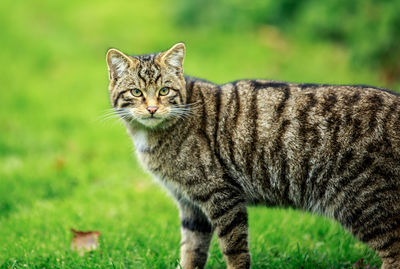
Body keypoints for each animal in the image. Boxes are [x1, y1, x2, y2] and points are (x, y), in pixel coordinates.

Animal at [104, 43, 400, 266]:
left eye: (164, 90)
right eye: (136, 92)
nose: (152, 109)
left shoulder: (221, 196)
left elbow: (234, 250)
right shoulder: (189, 205)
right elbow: (191, 251)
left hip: (366, 204)